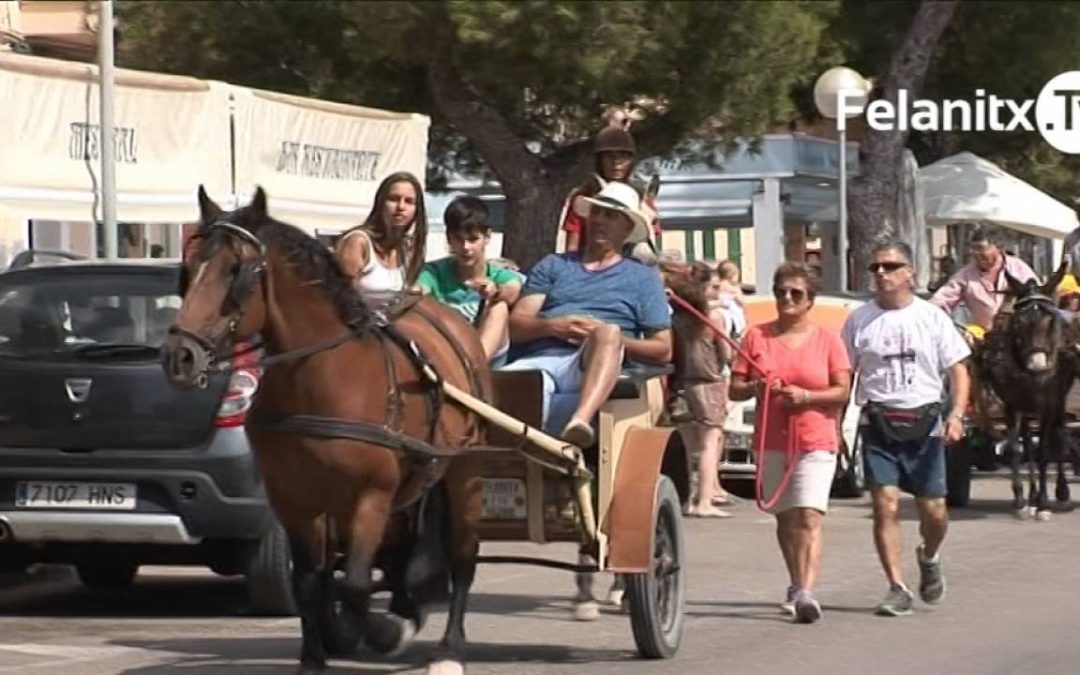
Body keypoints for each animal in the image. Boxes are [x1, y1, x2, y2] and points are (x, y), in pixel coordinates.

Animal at [163, 185, 490, 673]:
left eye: (236, 270)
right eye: (189, 268)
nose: (179, 356)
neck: (318, 379)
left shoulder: (371, 497)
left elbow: (354, 582)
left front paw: (382, 632)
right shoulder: (294, 502)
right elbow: (309, 581)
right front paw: (315, 657)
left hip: (464, 473)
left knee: (462, 556)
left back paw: (449, 645)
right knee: (403, 552)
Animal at [976, 260, 1075, 518]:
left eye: (1051, 322)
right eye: (1018, 323)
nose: (1037, 365)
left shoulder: (1049, 403)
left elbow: (1044, 450)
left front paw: (1043, 504)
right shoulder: (1012, 403)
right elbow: (1017, 449)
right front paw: (1022, 498)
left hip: (1057, 402)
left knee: (1058, 434)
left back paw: (1060, 490)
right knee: (1029, 443)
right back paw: (1031, 494)